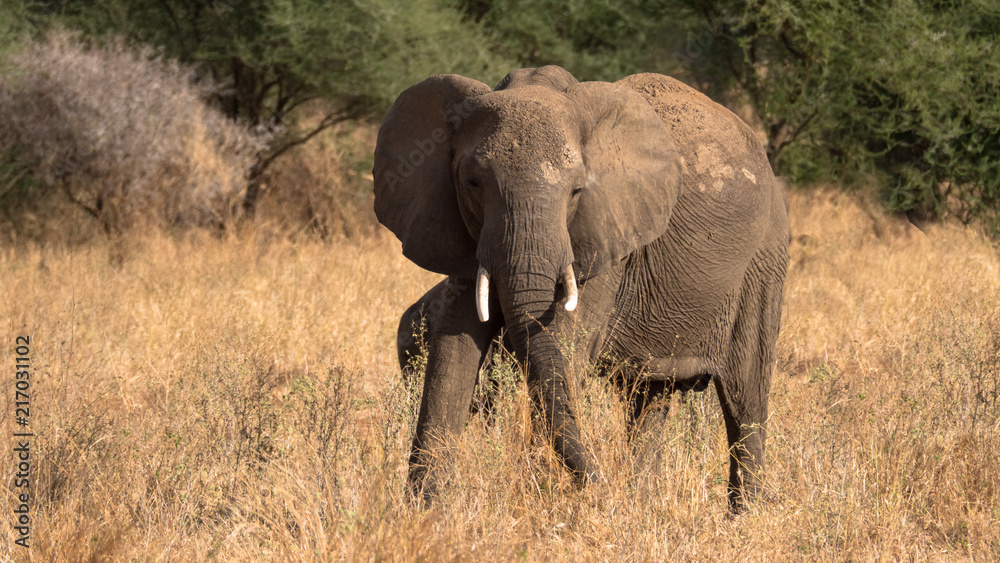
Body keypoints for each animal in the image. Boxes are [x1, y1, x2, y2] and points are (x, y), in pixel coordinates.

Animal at [376, 65, 788, 512]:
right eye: (472, 183)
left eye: (576, 191)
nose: (600, 487)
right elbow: (453, 354)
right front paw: (424, 511)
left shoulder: (608, 241)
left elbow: (563, 350)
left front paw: (541, 507)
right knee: (651, 399)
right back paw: (639, 503)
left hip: (763, 263)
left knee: (744, 398)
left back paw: (743, 516)